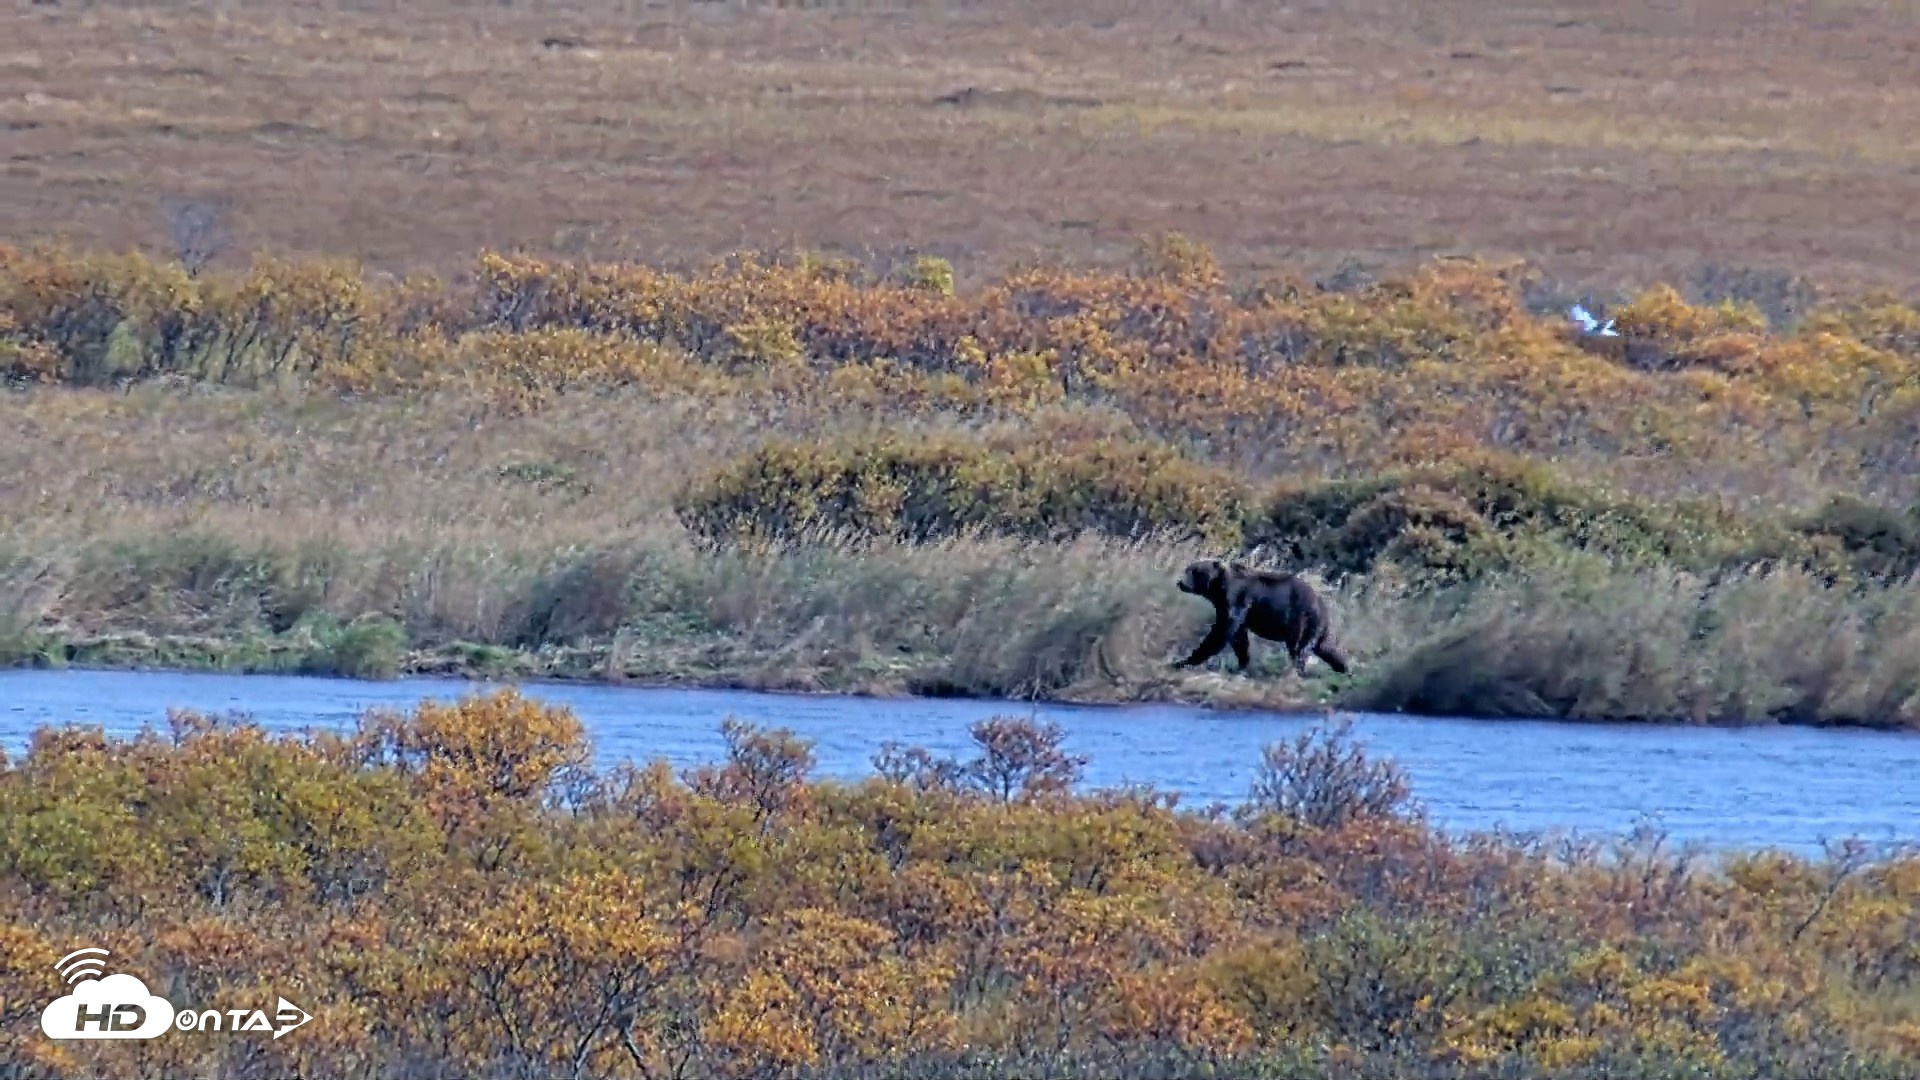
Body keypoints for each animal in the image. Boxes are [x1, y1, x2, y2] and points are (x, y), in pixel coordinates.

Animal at [1171, 558, 1353, 677]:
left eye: (1194, 571)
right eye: (1188, 569)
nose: (1180, 582)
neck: (1218, 589)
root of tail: (1323, 605)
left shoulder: (1237, 599)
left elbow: (1221, 632)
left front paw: (1182, 661)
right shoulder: (1228, 607)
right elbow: (1239, 638)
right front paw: (1242, 664)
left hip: (1303, 618)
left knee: (1298, 648)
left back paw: (1297, 672)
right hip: (1319, 627)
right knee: (1327, 648)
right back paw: (1345, 668)